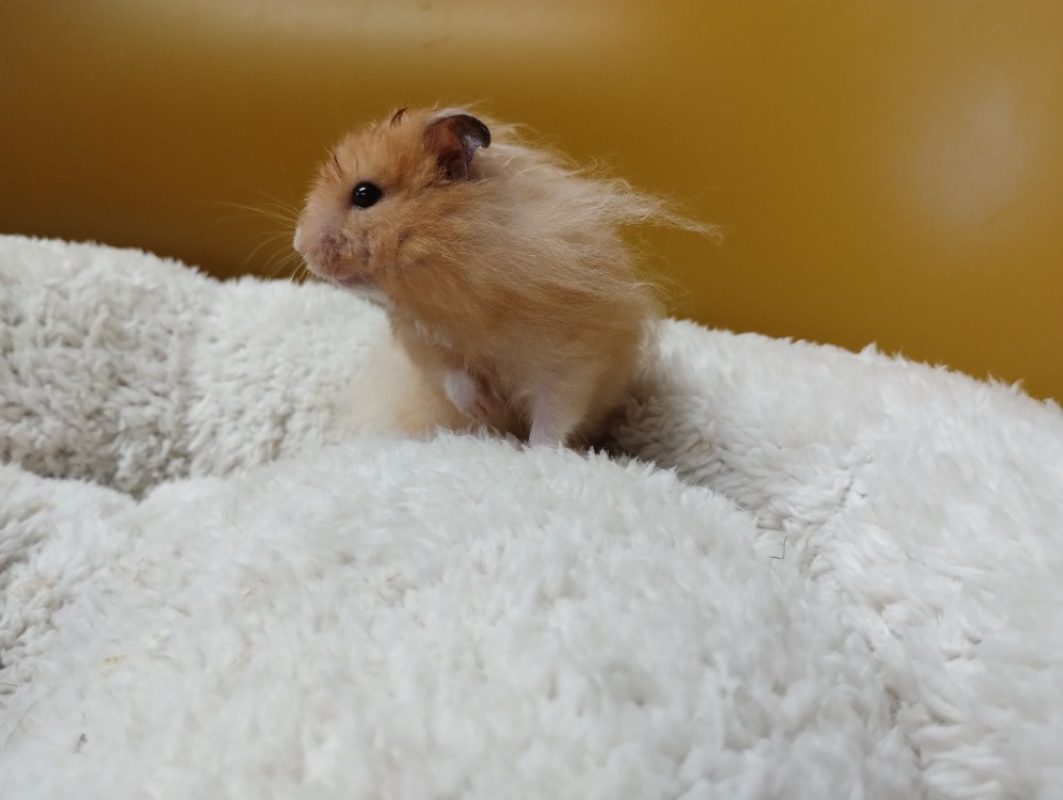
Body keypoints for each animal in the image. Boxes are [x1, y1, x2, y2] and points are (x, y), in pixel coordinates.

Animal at [295, 105, 708, 447]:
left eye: (364, 194)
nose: (300, 246)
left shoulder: (572, 360)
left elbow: (555, 414)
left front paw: (537, 452)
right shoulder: (427, 347)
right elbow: (453, 376)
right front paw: (482, 407)